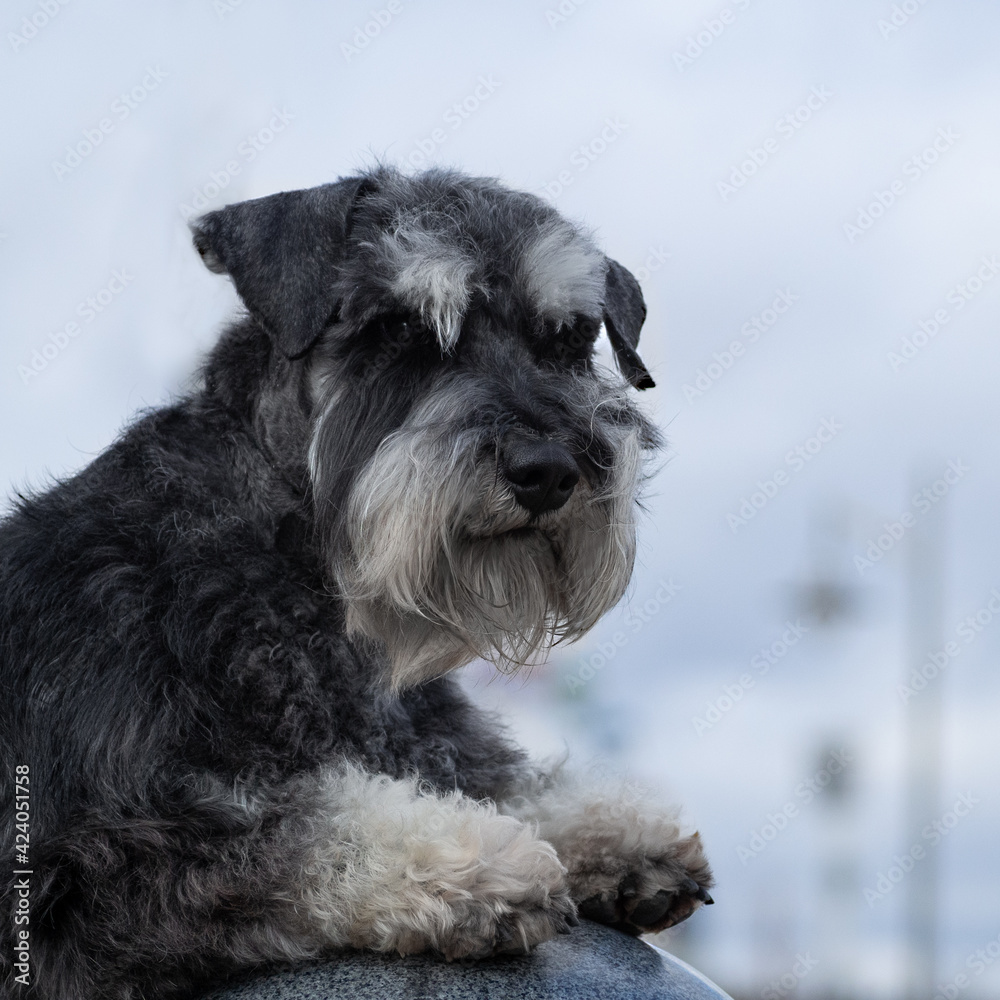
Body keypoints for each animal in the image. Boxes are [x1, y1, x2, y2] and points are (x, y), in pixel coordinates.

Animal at [0, 168, 712, 996]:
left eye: (567, 339)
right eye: (398, 328)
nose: (548, 470)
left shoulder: (410, 733)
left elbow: (486, 775)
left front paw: (614, 831)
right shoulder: (94, 858)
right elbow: (293, 829)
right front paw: (474, 863)